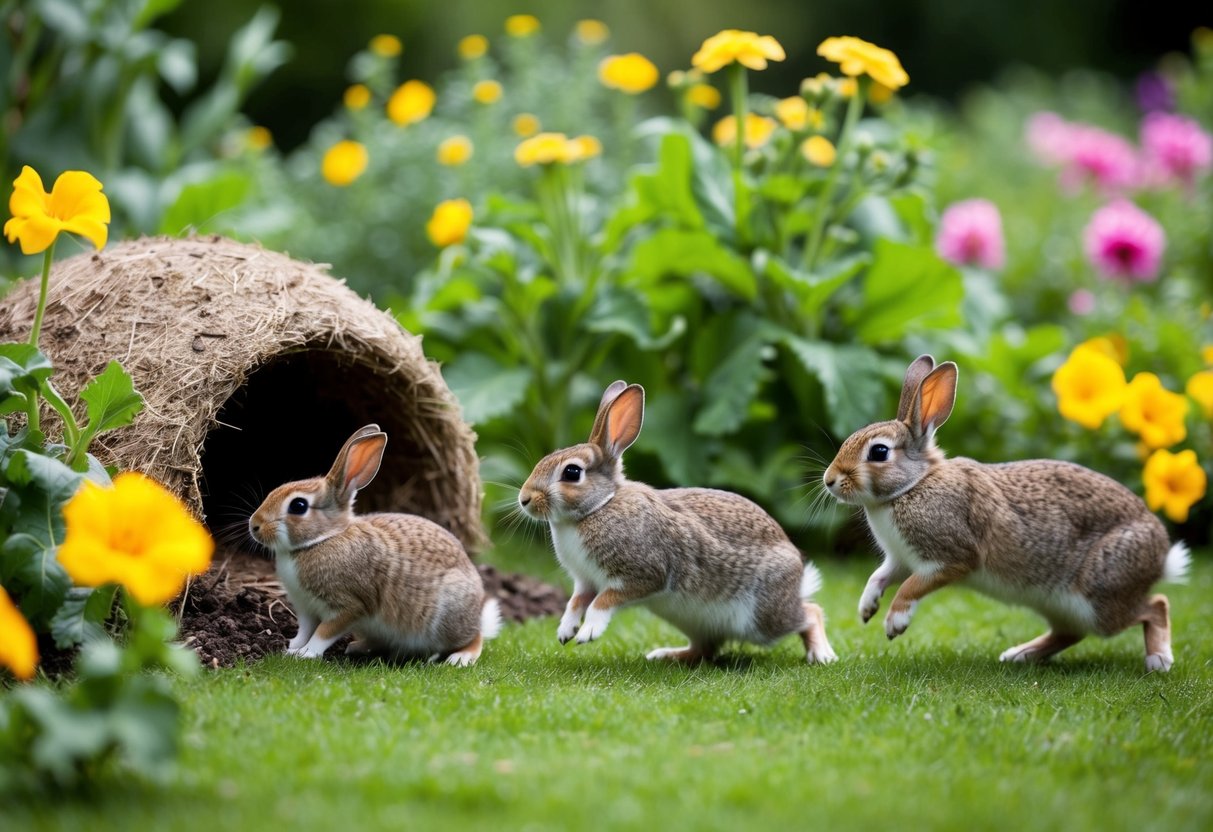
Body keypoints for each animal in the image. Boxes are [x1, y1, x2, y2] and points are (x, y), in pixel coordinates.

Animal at [248, 424, 501, 667]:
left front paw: (305, 654)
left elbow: (323, 633)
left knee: (474, 637)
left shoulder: (348, 606)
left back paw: (460, 658)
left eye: (298, 506)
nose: (254, 525)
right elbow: (305, 630)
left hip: (447, 618)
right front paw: (291, 647)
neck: (323, 539)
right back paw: (357, 647)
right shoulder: (306, 609)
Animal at [518, 380, 838, 664]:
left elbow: (603, 601)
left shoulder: (643, 573)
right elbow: (575, 602)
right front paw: (565, 631)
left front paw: (588, 633)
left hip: (763, 617)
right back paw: (666, 655)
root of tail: (798, 576)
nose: (524, 499)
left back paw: (822, 654)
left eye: (572, 472)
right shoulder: (585, 581)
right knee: (705, 649)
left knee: (810, 613)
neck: (600, 505)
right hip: (695, 621)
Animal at [823, 354, 1190, 671]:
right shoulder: (901, 559)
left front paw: (894, 622)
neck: (914, 484)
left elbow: (912, 587)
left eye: (879, 452)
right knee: (1070, 633)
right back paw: (1020, 654)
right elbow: (879, 577)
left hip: (1100, 595)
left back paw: (1158, 660)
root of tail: (1160, 555)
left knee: (1156, 605)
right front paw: (866, 608)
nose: (829, 480)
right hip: (1060, 604)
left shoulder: (951, 557)